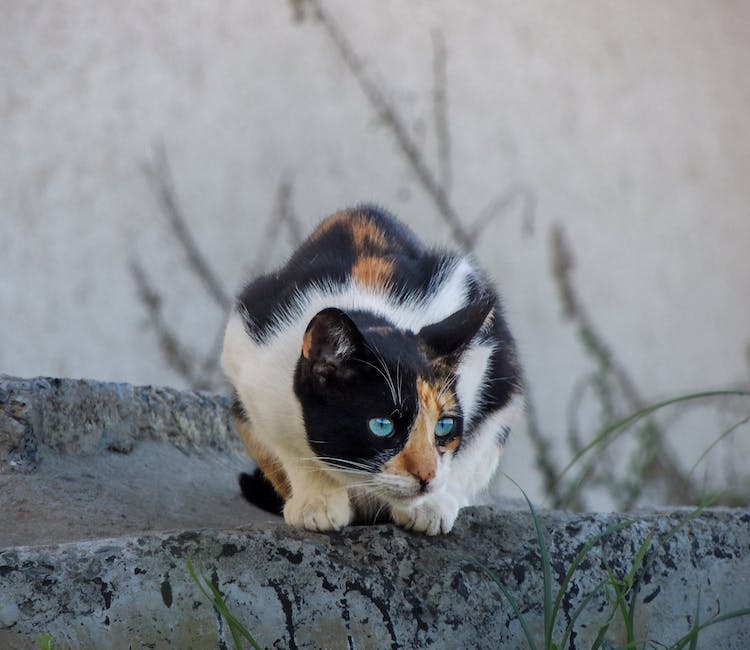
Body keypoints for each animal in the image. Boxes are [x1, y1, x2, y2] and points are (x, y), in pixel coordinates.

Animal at [222, 205, 524, 536]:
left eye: (444, 426)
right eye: (382, 426)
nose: (426, 475)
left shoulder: (486, 351)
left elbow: (474, 448)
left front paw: (430, 506)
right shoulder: (250, 357)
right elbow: (287, 445)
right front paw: (317, 502)